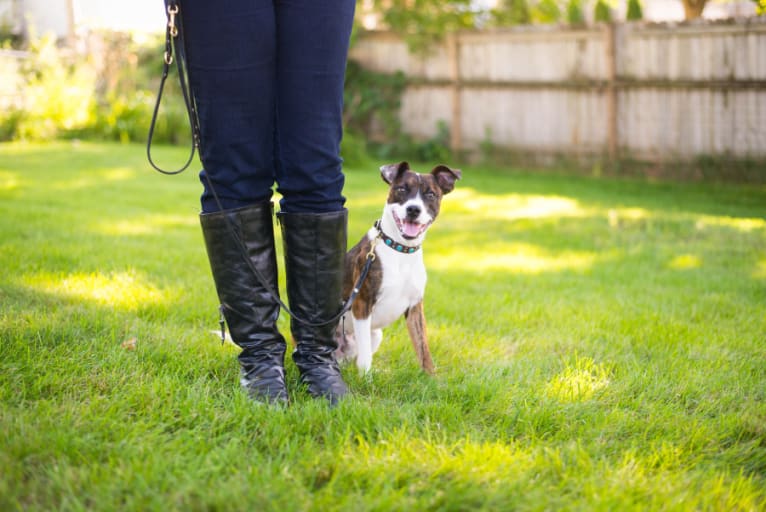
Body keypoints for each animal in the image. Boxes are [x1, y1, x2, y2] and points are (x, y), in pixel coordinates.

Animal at [336, 162, 462, 374]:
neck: (401, 249)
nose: (413, 209)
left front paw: (432, 378)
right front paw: (366, 380)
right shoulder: (362, 304)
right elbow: (365, 359)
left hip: (375, 335)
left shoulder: (415, 307)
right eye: (402, 189)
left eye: (431, 194)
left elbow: (423, 348)